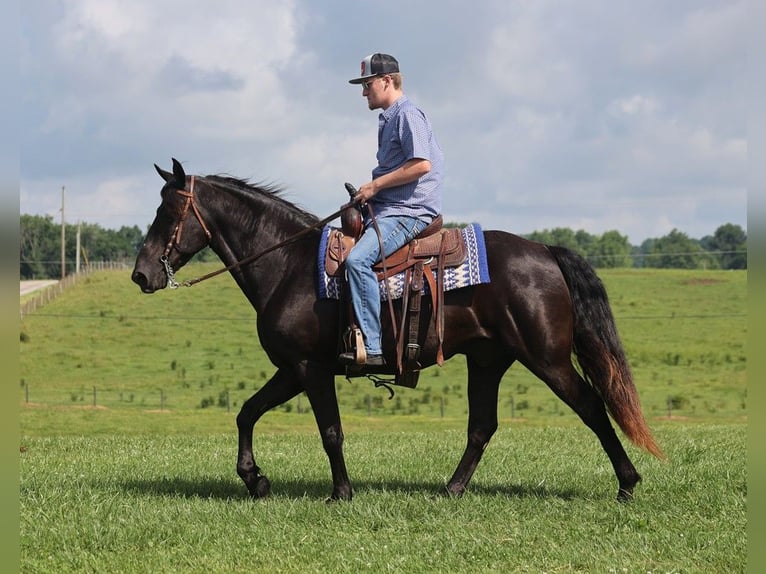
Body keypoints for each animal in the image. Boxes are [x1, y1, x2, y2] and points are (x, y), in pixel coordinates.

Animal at [132, 158, 663, 502]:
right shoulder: (291, 369)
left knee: (592, 406)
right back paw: (451, 489)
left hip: (547, 359)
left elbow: (330, 431)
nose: (141, 274)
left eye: (168, 212)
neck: (287, 264)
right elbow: (246, 413)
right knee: (482, 426)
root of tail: (547, 252)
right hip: (488, 360)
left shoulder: (309, 368)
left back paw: (627, 483)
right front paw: (255, 480)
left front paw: (340, 493)